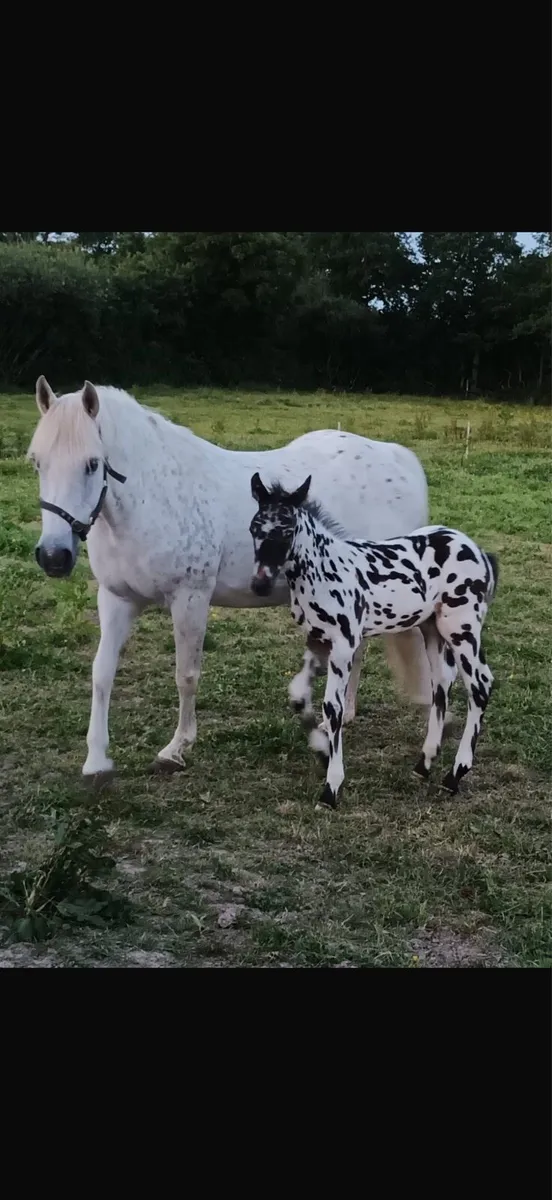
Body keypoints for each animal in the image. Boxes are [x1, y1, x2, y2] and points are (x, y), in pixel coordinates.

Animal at [29, 376, 432, 779]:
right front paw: (96, 760)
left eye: (92, 463)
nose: (53, 556)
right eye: (37, 462)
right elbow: (102, 673)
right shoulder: (116, 599)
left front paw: (176, 748)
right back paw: (344, 715)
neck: (153, 497)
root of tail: (399, 458)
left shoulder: (190, 598)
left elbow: (186, 674)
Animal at [249, 472, 498, 809]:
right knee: (441, 683)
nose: (260, 584)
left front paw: (331, 788)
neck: (324, 570)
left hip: (462, 628)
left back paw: (454, 775)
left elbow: (333, 708)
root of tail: (479, 552)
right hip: (431, 628)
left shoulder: (343, 645)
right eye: (254, 528)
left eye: (287, 529)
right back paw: (424, 763)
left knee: (480, 684)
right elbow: (299, 696)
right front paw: (321, 750)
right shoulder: (317, 640)